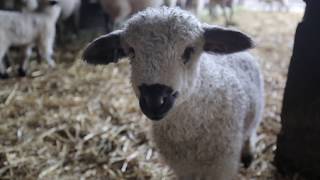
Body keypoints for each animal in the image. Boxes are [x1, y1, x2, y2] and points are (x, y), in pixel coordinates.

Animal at [81, 6, 264, 179]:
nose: (154, 100)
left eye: (189, 50)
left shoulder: (222, 166)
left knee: (251, 132)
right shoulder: (182, 167)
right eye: (131, 51)